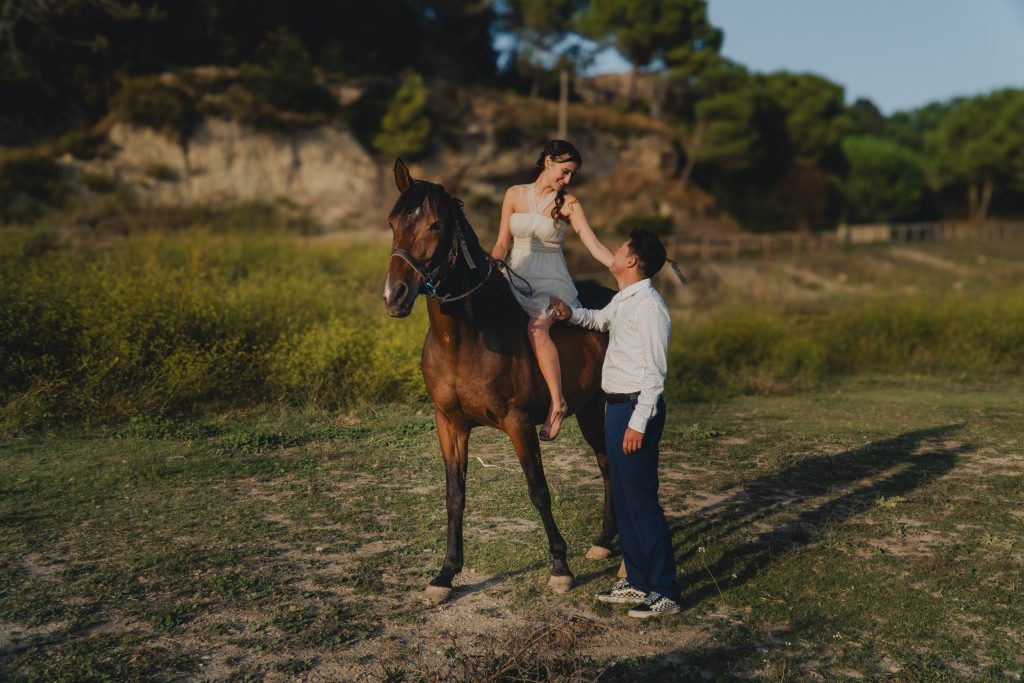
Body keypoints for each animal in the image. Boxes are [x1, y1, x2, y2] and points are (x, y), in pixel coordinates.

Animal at [382, 159, 616, 602]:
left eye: (436, 225)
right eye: (392, 223)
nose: (394, 296)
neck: (465, 338)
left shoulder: (519, 424)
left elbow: (538, 490)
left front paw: (560, 567)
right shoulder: (449, 424)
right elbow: (454, 495)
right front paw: (445, 575)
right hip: (591, 409)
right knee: (608, 463)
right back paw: (605, 543)